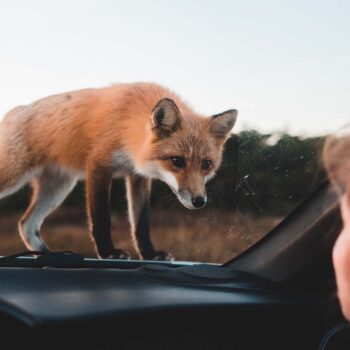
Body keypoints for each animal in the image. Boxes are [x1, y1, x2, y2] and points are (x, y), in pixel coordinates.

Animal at [0, 83, 238, 260]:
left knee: (26, 224)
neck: (127, 124)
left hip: (59, 188)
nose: (199, 201)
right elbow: (101, 217)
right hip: (17, 178)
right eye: (177, 161)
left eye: (206, 164)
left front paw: (149, 254)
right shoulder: (98, 165)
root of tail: (12, 111)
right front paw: (108, 252)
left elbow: (141, 223)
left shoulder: (138, 176)